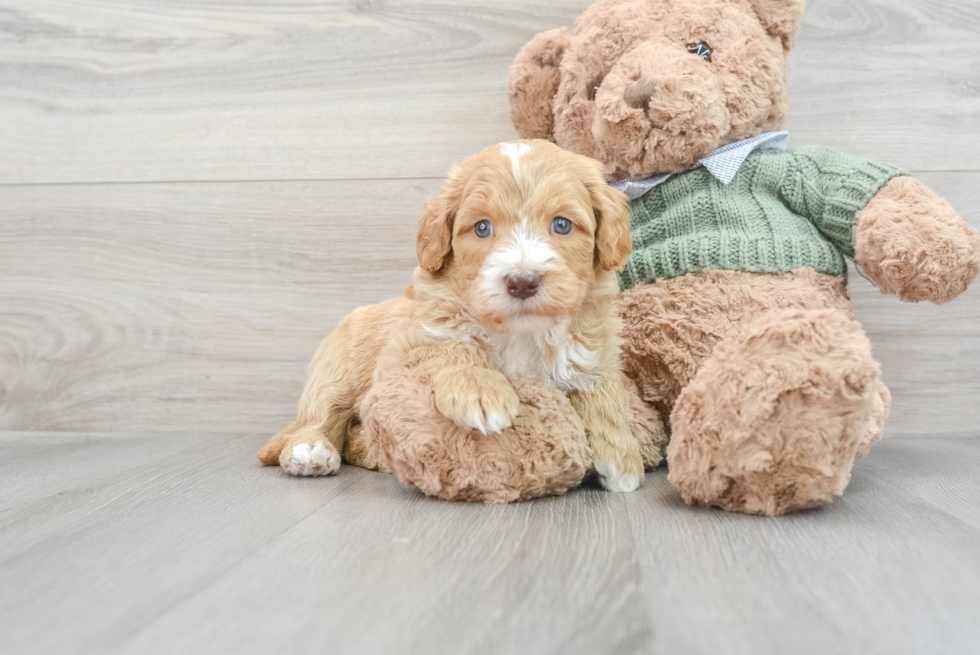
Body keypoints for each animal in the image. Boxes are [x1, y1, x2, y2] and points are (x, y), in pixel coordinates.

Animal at [258, 142, 644, 492]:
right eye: (482, 228)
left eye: (562, 225)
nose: (522, 281)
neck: (518, 333)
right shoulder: (410, 344)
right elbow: (453, 348)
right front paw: (481, 392)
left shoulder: (593, 351)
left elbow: (603, 393)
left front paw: (622, 458)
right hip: (337, 373)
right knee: (323, 414)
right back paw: (310, 449)